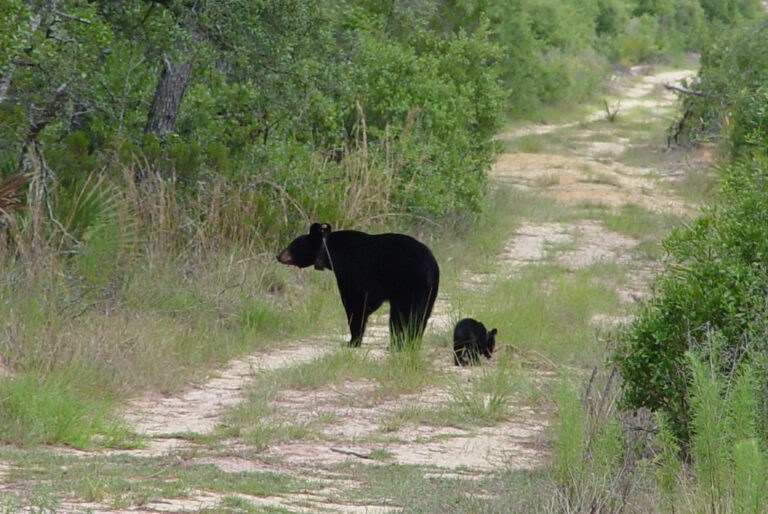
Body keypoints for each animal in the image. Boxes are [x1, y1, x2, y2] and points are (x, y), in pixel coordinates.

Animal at [277, 223, 440, 348]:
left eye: (292, 245)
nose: (278, 255)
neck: (330, 252)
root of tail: (430, 267)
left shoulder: (352, 271)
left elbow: (355, 303)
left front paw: (352, 341)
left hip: (408, 286)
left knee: (404, 315)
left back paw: (399, 345)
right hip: (429, 293)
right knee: (420, 316)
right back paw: (410, 344)